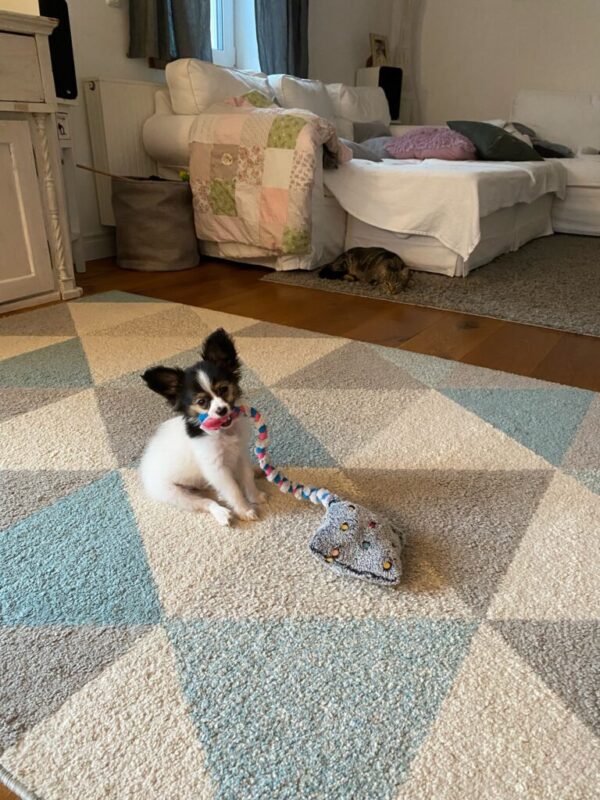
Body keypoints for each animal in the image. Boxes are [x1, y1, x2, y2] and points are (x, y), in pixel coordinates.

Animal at [139, 328, 266, 526]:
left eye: (223, 389)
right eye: (201, 402)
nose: (221, 410)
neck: (224, 432)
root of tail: (144, 468)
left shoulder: (241, 454)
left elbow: (246, 477)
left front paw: (255, 496)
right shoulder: (216, 468)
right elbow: (233, 490)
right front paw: (244, 510)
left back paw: (256, 470)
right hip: (176, 494)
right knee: (206, 502)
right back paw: (221, 513)